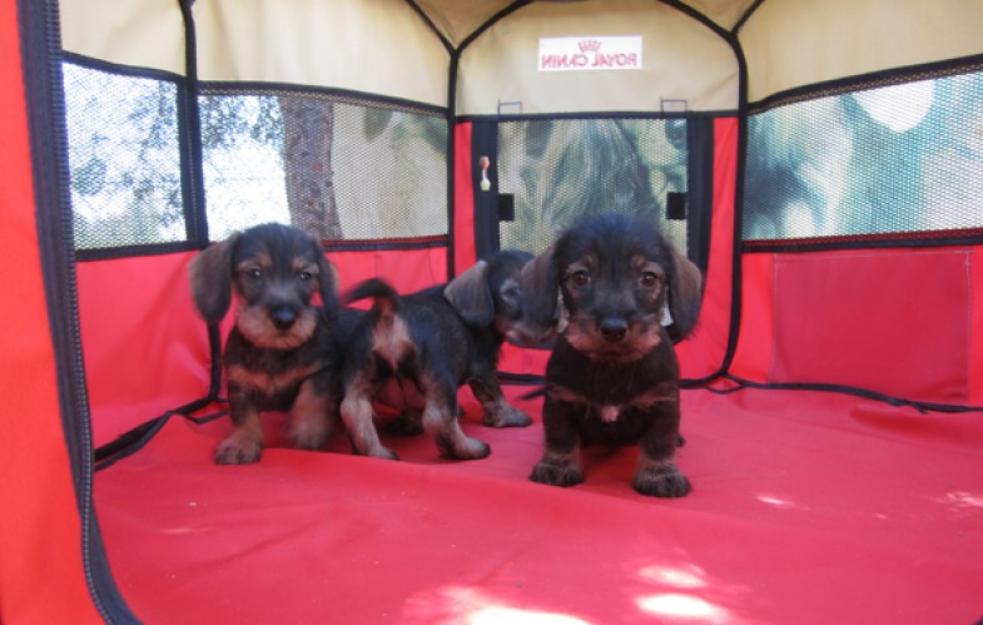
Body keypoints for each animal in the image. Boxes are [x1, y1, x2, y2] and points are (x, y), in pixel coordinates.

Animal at [189, 223, 346, 464]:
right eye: (255, 273)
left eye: (305, 275)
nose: (285, 319)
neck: (275, 351)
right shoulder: (239, 384)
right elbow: (243, 415)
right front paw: (242, 442)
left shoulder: (322, 369)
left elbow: (311, 396)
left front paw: (307, 428)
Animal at [338, 249, 540, 458]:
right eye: (511, 292)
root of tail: (392, 308)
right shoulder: (485, 368)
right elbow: (496, 396)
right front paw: (512, 417)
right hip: (440, 373)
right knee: (438, 418)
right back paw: (469, 449)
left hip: (362, 369)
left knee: (355, 410)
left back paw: (378, 453)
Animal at [520, 214, 704, 498]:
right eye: (581, 277)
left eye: (648, 278)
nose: (614, 328)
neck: (612, 366)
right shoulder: (559, 401)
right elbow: (561, 437)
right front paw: (557, 466)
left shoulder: (664, 402)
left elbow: (659, 441)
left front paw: (660, 474)